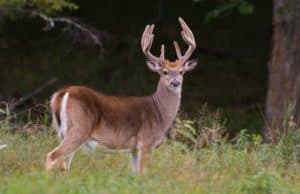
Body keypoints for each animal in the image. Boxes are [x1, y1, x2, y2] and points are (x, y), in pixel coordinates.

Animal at [46, 17, 197, 174]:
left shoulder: (134, 149)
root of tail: (63, 93)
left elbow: (136, 174)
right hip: (79, 128)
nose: (175, 83)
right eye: (164, 72)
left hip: (63, 132)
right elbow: (144, 174)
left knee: (64, 165)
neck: (159, 113)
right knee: (52, 156)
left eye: (181, 71)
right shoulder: (146, 142)